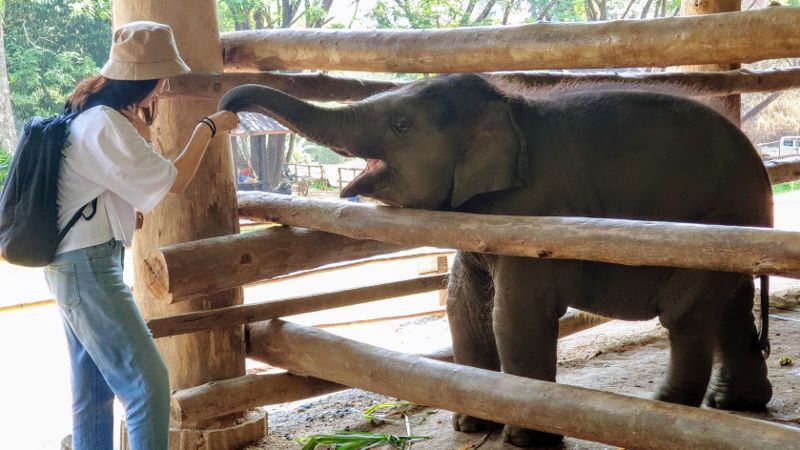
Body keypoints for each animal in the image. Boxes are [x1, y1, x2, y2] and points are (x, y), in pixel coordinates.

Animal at [220, 74, 776, 446]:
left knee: (686, 314)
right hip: (736, 223)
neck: (509, 106)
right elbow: (462, 303)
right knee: (729, 305)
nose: (225, 107)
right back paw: (734, 404)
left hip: (715, 220)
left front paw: (524, 438)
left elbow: (516, 313)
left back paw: (662, 412)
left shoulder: (535, 210)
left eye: (400, 124)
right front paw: (470, 423)